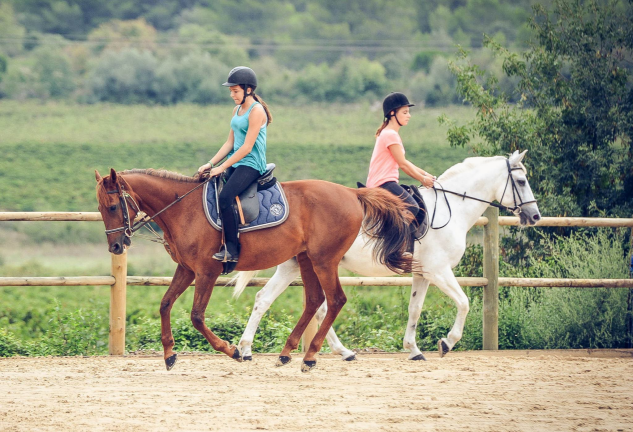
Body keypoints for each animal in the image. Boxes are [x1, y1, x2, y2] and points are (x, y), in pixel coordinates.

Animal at [92, 169, 410, 372]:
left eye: (112, 206)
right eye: (101, 207)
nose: (116, 246)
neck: (184, 210)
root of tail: (351, 193)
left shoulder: (206, 271)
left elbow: (196, 317)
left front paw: (231, 350)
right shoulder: (186, 269)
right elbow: (165, 303)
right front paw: (170, 354)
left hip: (324, 260)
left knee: (335, 300)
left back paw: (309, 356)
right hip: (306, 259)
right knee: (314, 301)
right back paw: (287, 353)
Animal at [231, 152, 540, 362]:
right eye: (521, 180)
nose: (534, 216)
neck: (451, 208)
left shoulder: (423, 273)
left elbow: (415, 309)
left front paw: (413, 350)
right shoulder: (439, 270)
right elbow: (463, 302)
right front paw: (447, 343)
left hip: (295, 266)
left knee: (270, 299)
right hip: (314, 264)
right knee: (311, 304)